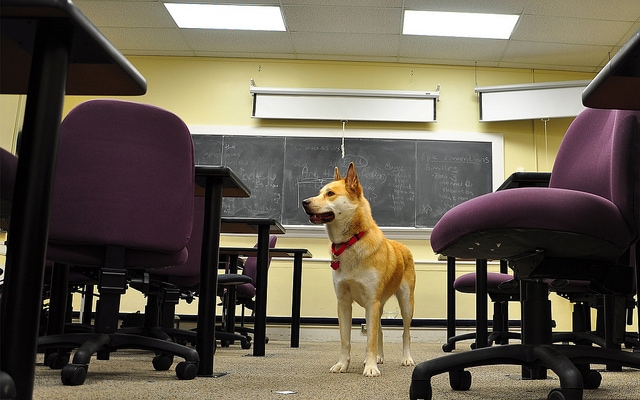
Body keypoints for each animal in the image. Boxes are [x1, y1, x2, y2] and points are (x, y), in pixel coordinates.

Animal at [302, 162, 418, 378]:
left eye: (330, 193)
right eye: (319, 192)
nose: (304, 202)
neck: (351, 242)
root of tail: (402, 245)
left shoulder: (372, 301)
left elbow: (370, 340)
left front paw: (370, 367)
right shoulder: (344, 302)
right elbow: (345, 339)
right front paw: (343, 364)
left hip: (406, 303)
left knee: (405, 333)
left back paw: (406, 358)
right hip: (378, 305)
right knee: (380, 330)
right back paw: (378, 357)